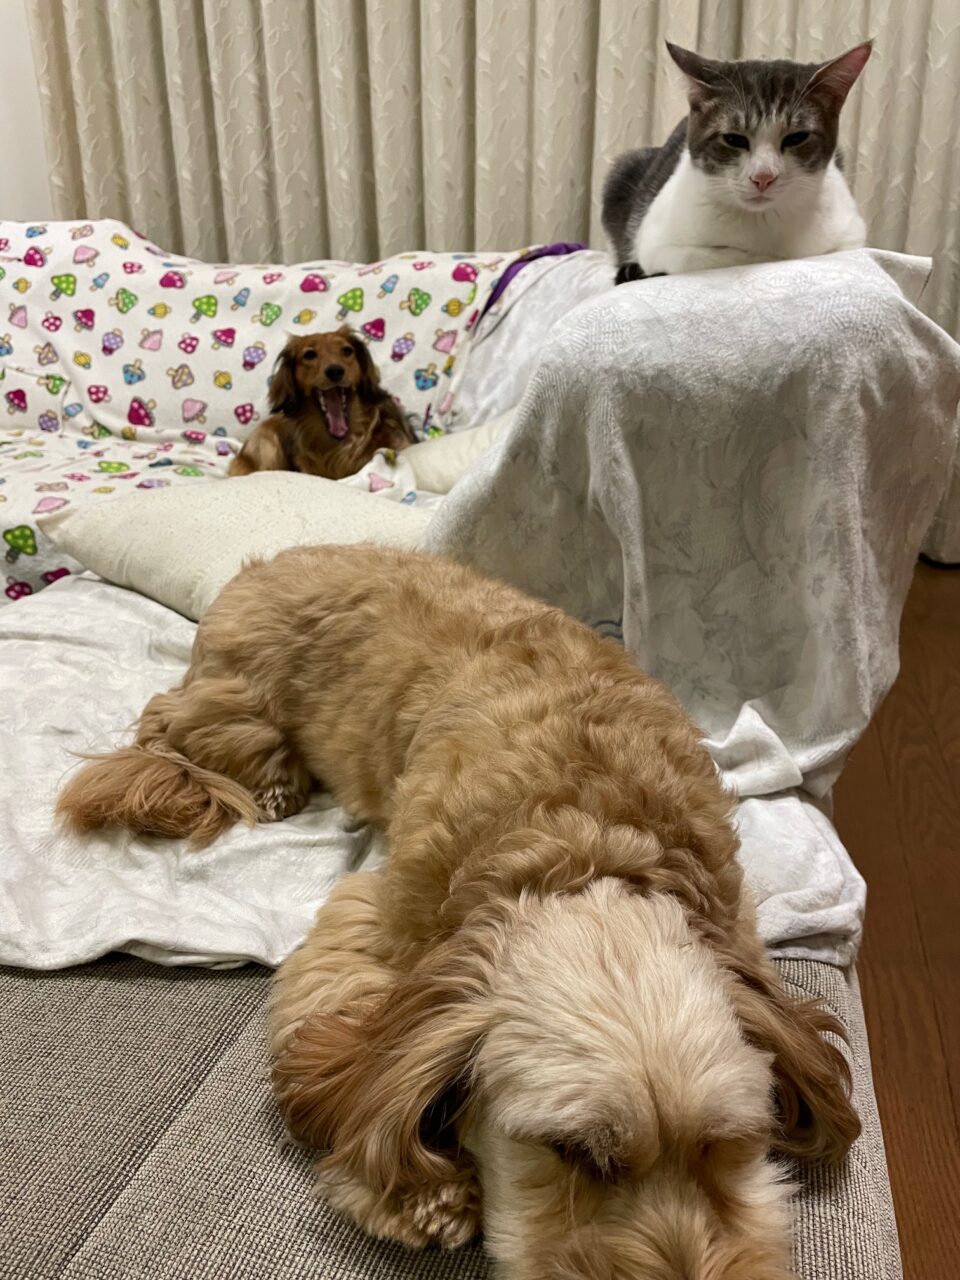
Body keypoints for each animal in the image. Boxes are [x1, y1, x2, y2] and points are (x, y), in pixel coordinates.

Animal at [57, 545, 859, 1278]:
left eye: (726, 1145)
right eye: (571, 1151)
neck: (589, 846)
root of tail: (265, 561)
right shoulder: (375, 925)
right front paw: (421, 1196)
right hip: (239, 696)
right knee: (178, 724)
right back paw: (269, 780)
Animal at [602, 41, 872, 284]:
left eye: (797, 137)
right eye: (733, 139)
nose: (763, 177)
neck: (762, 220)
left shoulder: (851, 235)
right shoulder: (656, 242)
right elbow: (713, 257)